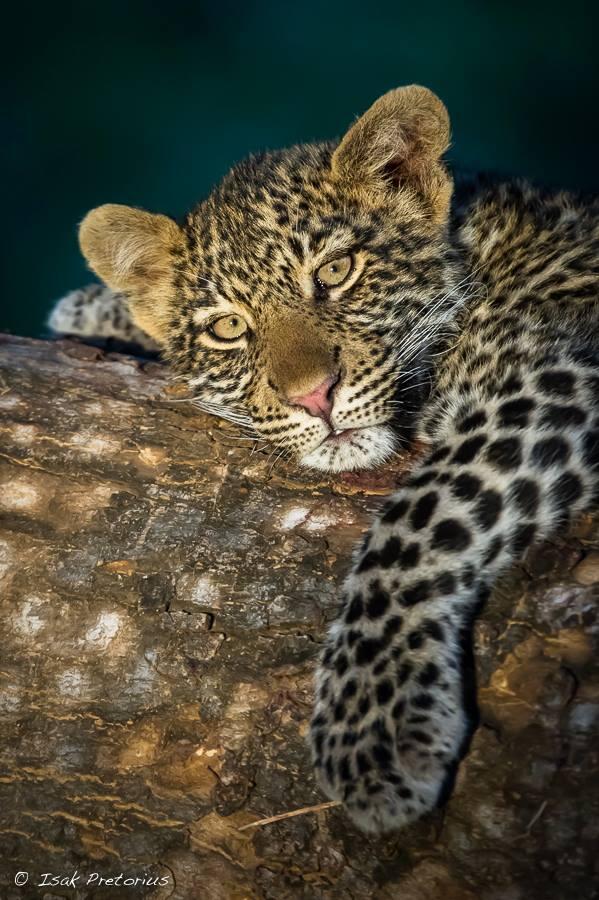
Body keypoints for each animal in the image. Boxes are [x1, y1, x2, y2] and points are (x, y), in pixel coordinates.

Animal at [50, 85, 599, 834]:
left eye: (336, 273)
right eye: (229, 327)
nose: (314, 396)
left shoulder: (563, 369)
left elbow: (423, 514)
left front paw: (374, 718)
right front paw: (103, 307)